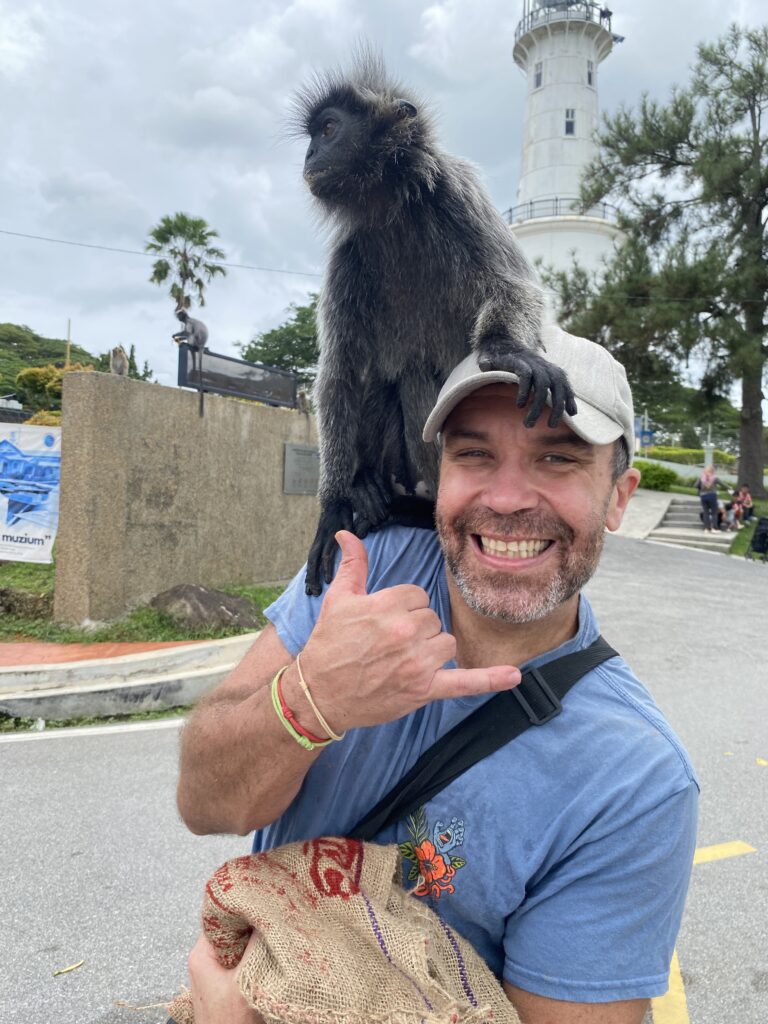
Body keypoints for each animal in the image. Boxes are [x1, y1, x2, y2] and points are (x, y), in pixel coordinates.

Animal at [294, 51, 577, 598]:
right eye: (315, 135)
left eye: (330, 128)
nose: (310, 154)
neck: (394, 214)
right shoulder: (350, 253)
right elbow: (339, 373)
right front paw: (333, 504)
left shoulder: (455, 193)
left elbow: (517, 288)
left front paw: (505, 348)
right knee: (383, 379)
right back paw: (366, 488)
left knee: (413, 376)